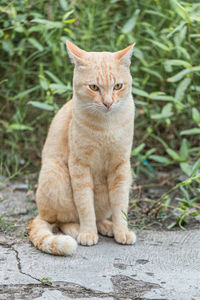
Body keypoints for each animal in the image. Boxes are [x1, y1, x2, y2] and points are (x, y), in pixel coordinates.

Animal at [28, 40, 137, 255]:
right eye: (94, 87)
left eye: (118, 86)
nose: (108, 103)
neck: (106, 126)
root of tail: (40, 213)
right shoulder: (79, 165)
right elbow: (85, 204)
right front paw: (88, 232)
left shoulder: (121, 166)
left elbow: (120, 203)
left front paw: (121, 230)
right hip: (55, 176)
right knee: (62, 221)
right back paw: (79, 230)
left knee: (99, 214)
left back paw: (107, 226)